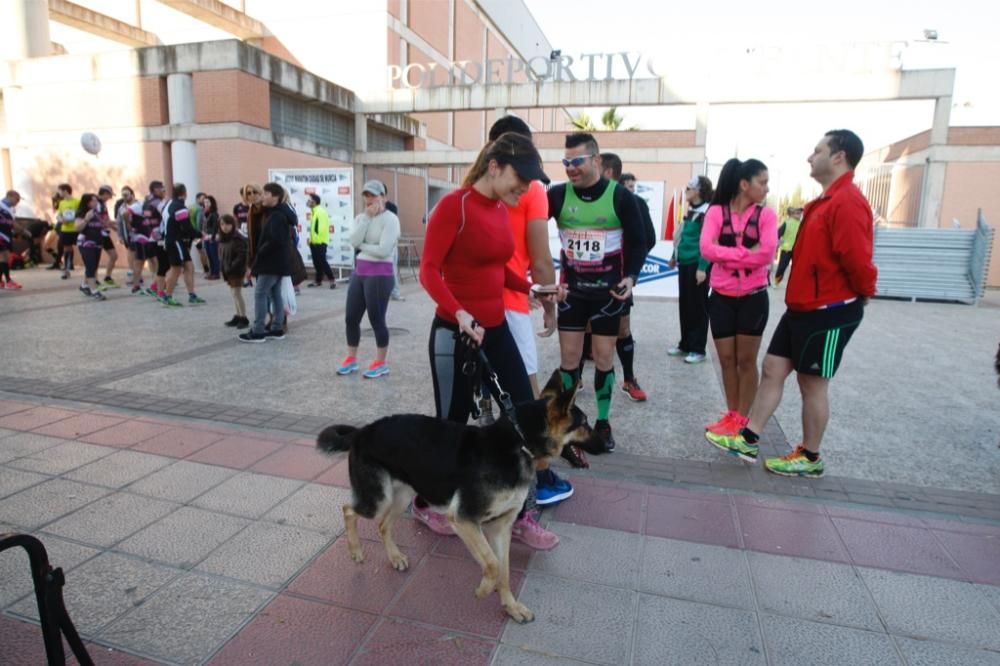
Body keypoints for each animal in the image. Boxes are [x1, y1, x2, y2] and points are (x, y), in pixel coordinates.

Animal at [316, 370, 604, 620]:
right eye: (585, 423)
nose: (609, 444)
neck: (519, 442)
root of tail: (362, 430)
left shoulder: (500, 527)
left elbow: (504, 570)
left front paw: (510, 607)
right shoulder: (465, 520)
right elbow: (493, 565)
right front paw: (484, 589)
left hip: (401, 496)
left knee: (383, 524)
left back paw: (395, 557)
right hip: (378, 500)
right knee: (348, 510)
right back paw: (355, 550)